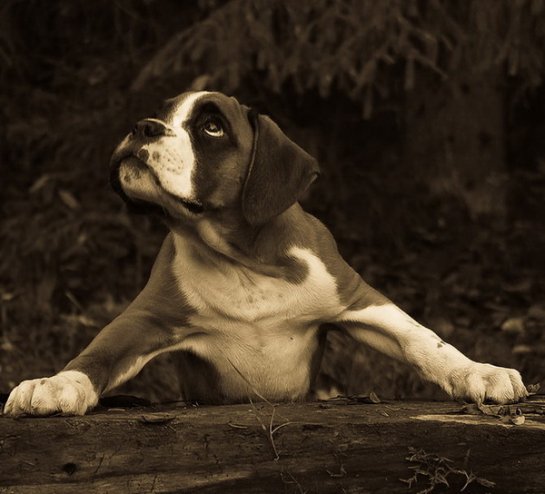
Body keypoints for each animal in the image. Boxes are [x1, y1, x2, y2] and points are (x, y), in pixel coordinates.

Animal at [2, 90, 524, 414]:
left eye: (212, 127)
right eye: (162, 115)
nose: (142, 126)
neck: (242, 262)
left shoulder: (357, 299)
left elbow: (425, 341)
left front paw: (480, 372)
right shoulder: (146, 318)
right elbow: (97, 353)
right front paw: (55, 383)